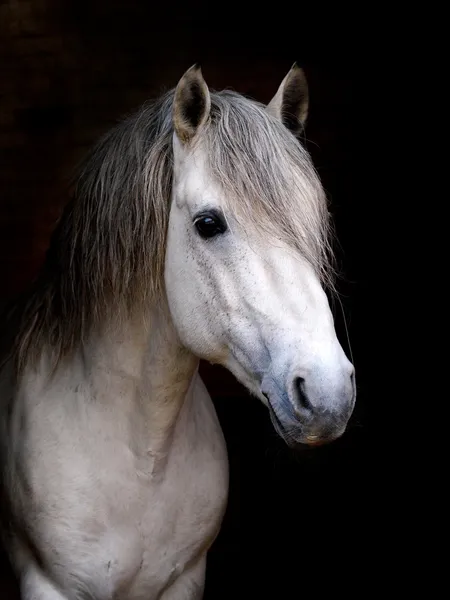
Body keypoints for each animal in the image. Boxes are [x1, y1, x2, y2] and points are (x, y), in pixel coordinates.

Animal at [1, 63, 356, 596]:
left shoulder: (185, 580)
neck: (143, 456)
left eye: (313, 220)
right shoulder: (50, 584)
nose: (328, 394)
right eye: (208, 223)